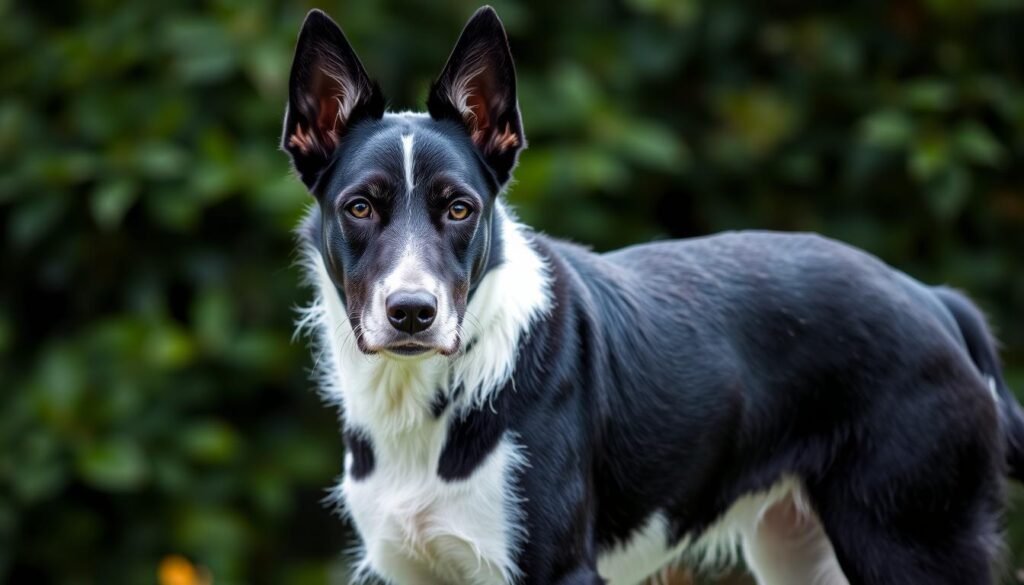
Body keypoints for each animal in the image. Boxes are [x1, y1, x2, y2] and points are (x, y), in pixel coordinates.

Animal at [280, 5, 1024, 585]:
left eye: (460, 209)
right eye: (360, 207)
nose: (412, 313)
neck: (432, 394)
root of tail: (935, 301)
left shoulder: (558, 568)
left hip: (912, 539)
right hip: (799, 548)